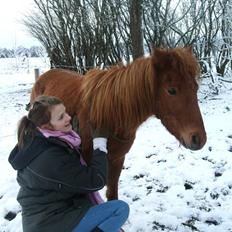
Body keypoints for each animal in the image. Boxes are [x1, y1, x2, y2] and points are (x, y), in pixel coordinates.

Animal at [30, 46, 207, 200]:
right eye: (171, 90)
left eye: (195, 88)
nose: (198, 139)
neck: (110, 115)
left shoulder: (117, 159)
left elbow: (112, 195)